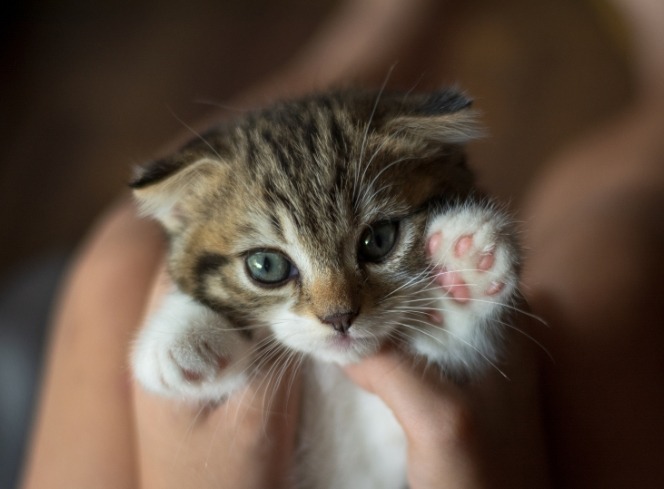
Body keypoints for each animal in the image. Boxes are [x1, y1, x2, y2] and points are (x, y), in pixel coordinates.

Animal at [128, 88, 520, 488]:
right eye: (266, 266)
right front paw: (182, 337)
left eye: (379, 240)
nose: (339, 318)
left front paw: (464, 269)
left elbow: (452, 348)